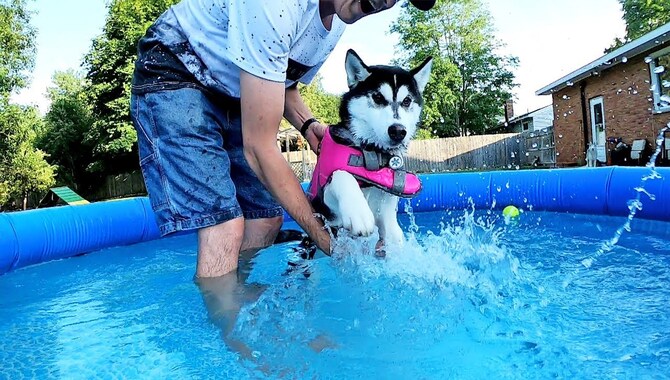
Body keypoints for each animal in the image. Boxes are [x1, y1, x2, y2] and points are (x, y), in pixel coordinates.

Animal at [308, 49, 434, 249]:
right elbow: (341, 173)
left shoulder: (385, 210)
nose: (398, 131)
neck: (371, 152)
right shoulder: (325, 207)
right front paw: (358, 212)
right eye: (378, 97)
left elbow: (391, 231)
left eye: (407, 101)